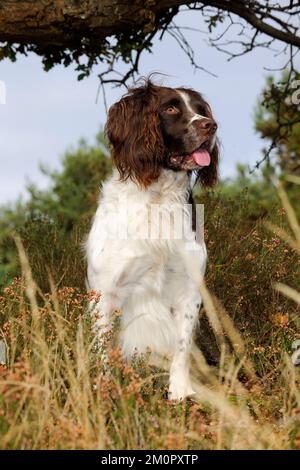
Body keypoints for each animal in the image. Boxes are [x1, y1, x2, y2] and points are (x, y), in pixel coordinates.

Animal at [85, 78, 219, 400]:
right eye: (170, 109)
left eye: (201, 109)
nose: (210, 125)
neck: (157, 198)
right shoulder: (105, 291)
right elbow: (103, 350)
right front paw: (104, 391)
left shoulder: (189, 288)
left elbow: (181, 348)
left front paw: (180, 392)